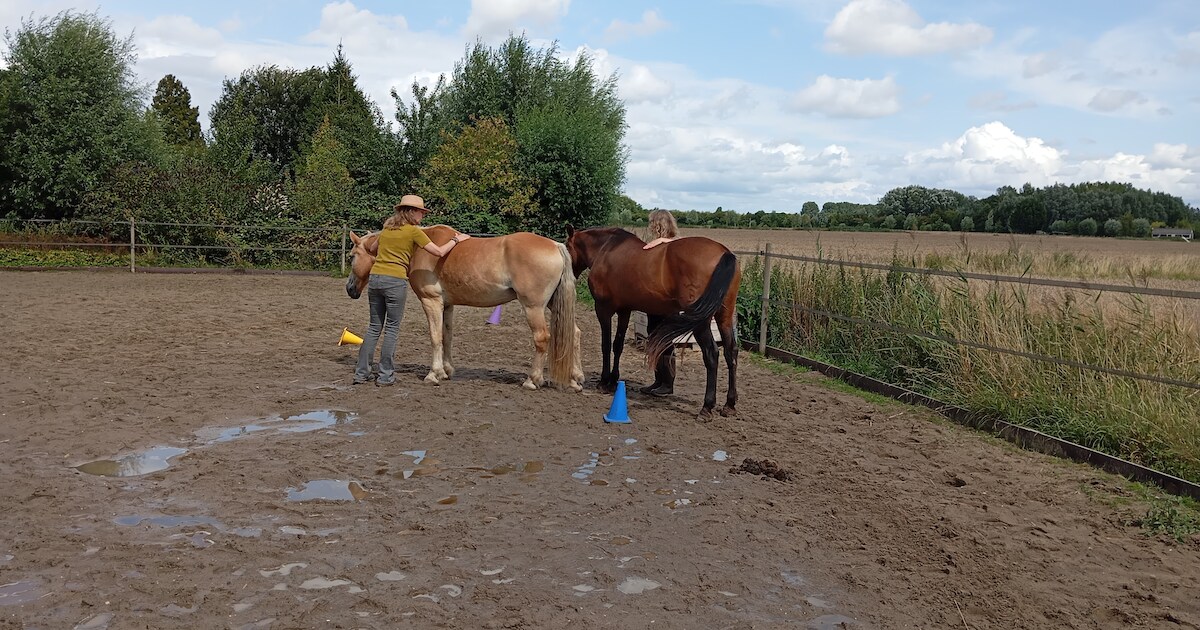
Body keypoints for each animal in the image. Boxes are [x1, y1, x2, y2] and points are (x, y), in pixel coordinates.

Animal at [347, 225, 583, 392]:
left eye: (352, 256)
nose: (350, 289)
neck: (417, 247)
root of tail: (555, 246)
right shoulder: (447, 305)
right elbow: (446, 337)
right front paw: (446, 371)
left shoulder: (431, 301)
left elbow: (435, 337)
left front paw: (433, 374)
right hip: (552, 305)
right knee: (574, 334)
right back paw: (575, 379)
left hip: (533, 307)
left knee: (542, 338)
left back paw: (532, 380)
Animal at [565, 226, 740, 419]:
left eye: (566, 247)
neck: (606, 249)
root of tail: (724, 253)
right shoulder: (624, 311)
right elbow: (617, 345)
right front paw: (613, 381)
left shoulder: (603, 309)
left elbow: (605, 345)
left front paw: (604, 382)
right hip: (724, 317)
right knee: (731, 352)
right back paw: (729, 404)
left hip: (701, 323)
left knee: (712, 354)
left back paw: (707, 406)